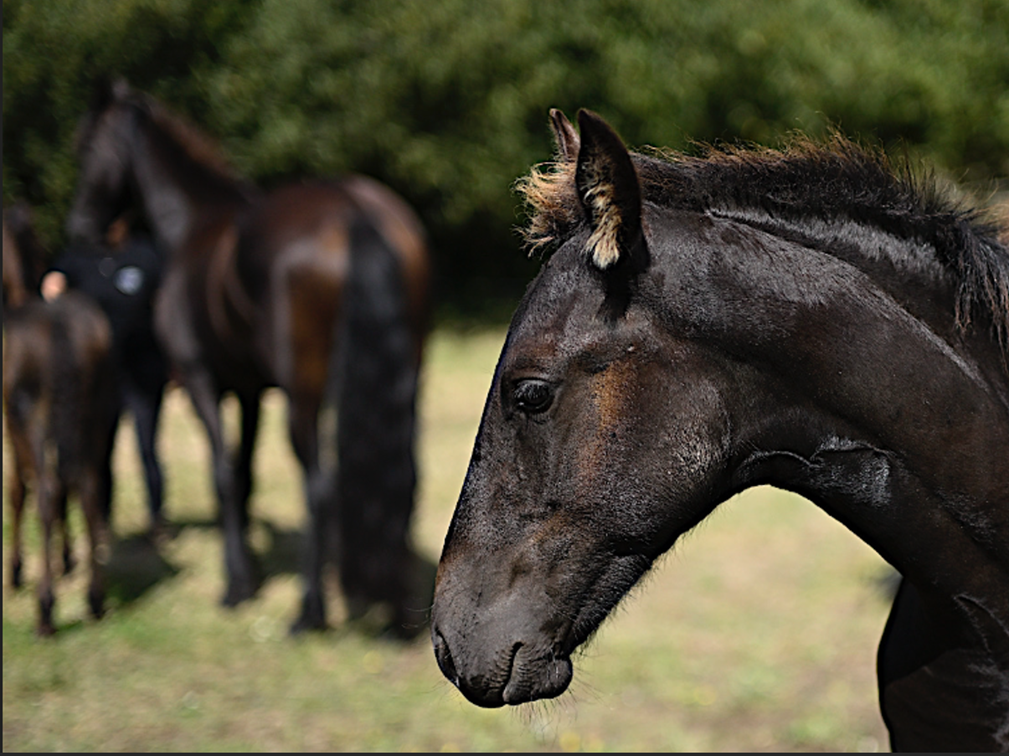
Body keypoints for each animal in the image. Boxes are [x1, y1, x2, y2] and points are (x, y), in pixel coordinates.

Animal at [3, 204, 119, 635]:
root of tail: (60, 327)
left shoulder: (12, 429)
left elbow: (18, 491)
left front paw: (17, 570)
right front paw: (68, 558)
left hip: (34, 422)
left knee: (49, 491)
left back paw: (45, 609)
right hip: (95, 416)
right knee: (86, 487)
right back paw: (95, 598)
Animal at [66, 79, 431, 635]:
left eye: (88, 146)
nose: (79, 225)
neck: (195, 221)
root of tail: (356, 213)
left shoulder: (202, 383)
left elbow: (222, 474)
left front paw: (236, 586)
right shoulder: (250, 390)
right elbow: (245, 476)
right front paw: (249, 575)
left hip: (304, 397)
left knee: (320, 486)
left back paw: (309, 611)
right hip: (404, 380)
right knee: (402, 477)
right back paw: (394, 611)